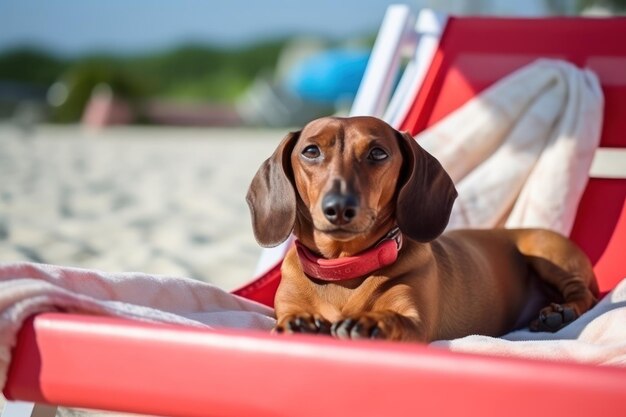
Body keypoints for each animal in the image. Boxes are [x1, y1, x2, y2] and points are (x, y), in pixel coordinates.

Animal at [246, 115, 596, 340]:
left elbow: (395, 318)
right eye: (311, 151)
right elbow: (289, 316)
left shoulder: (416, 321)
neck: (344, 269)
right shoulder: (285, 306)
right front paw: (300, 322)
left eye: (377, 152)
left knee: (585, 294)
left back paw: (560, 312)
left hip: (546, 252)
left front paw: (371, 321)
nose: (339, 207)